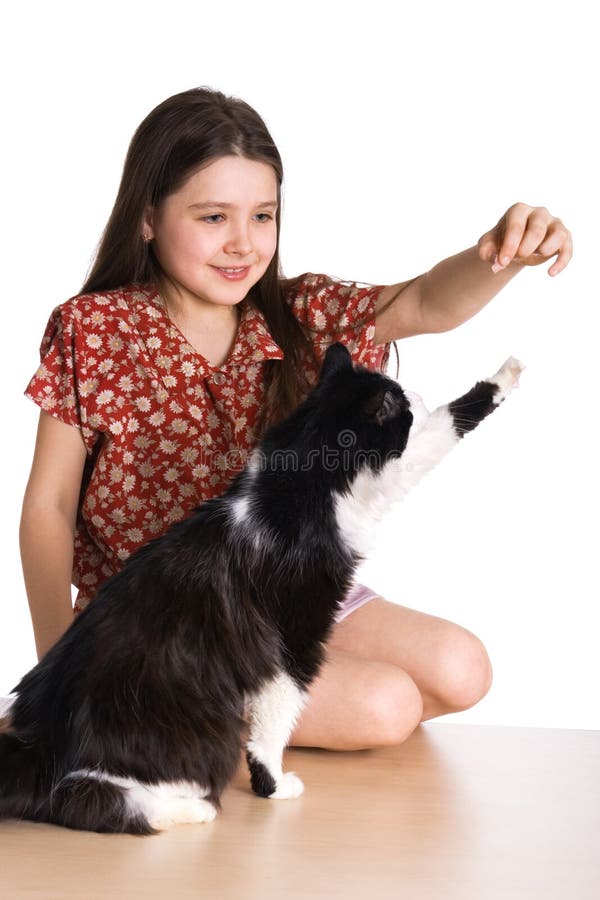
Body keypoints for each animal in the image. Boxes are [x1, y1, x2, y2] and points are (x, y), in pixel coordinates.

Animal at [0, 342, 520, 832]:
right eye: (400, 403)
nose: (415, 393)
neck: (300, 475)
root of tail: (41, 739)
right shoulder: (293, 642)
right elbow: (449, 423)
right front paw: (272, 785)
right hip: (201, 731)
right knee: (92, 802)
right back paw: (193, 810)